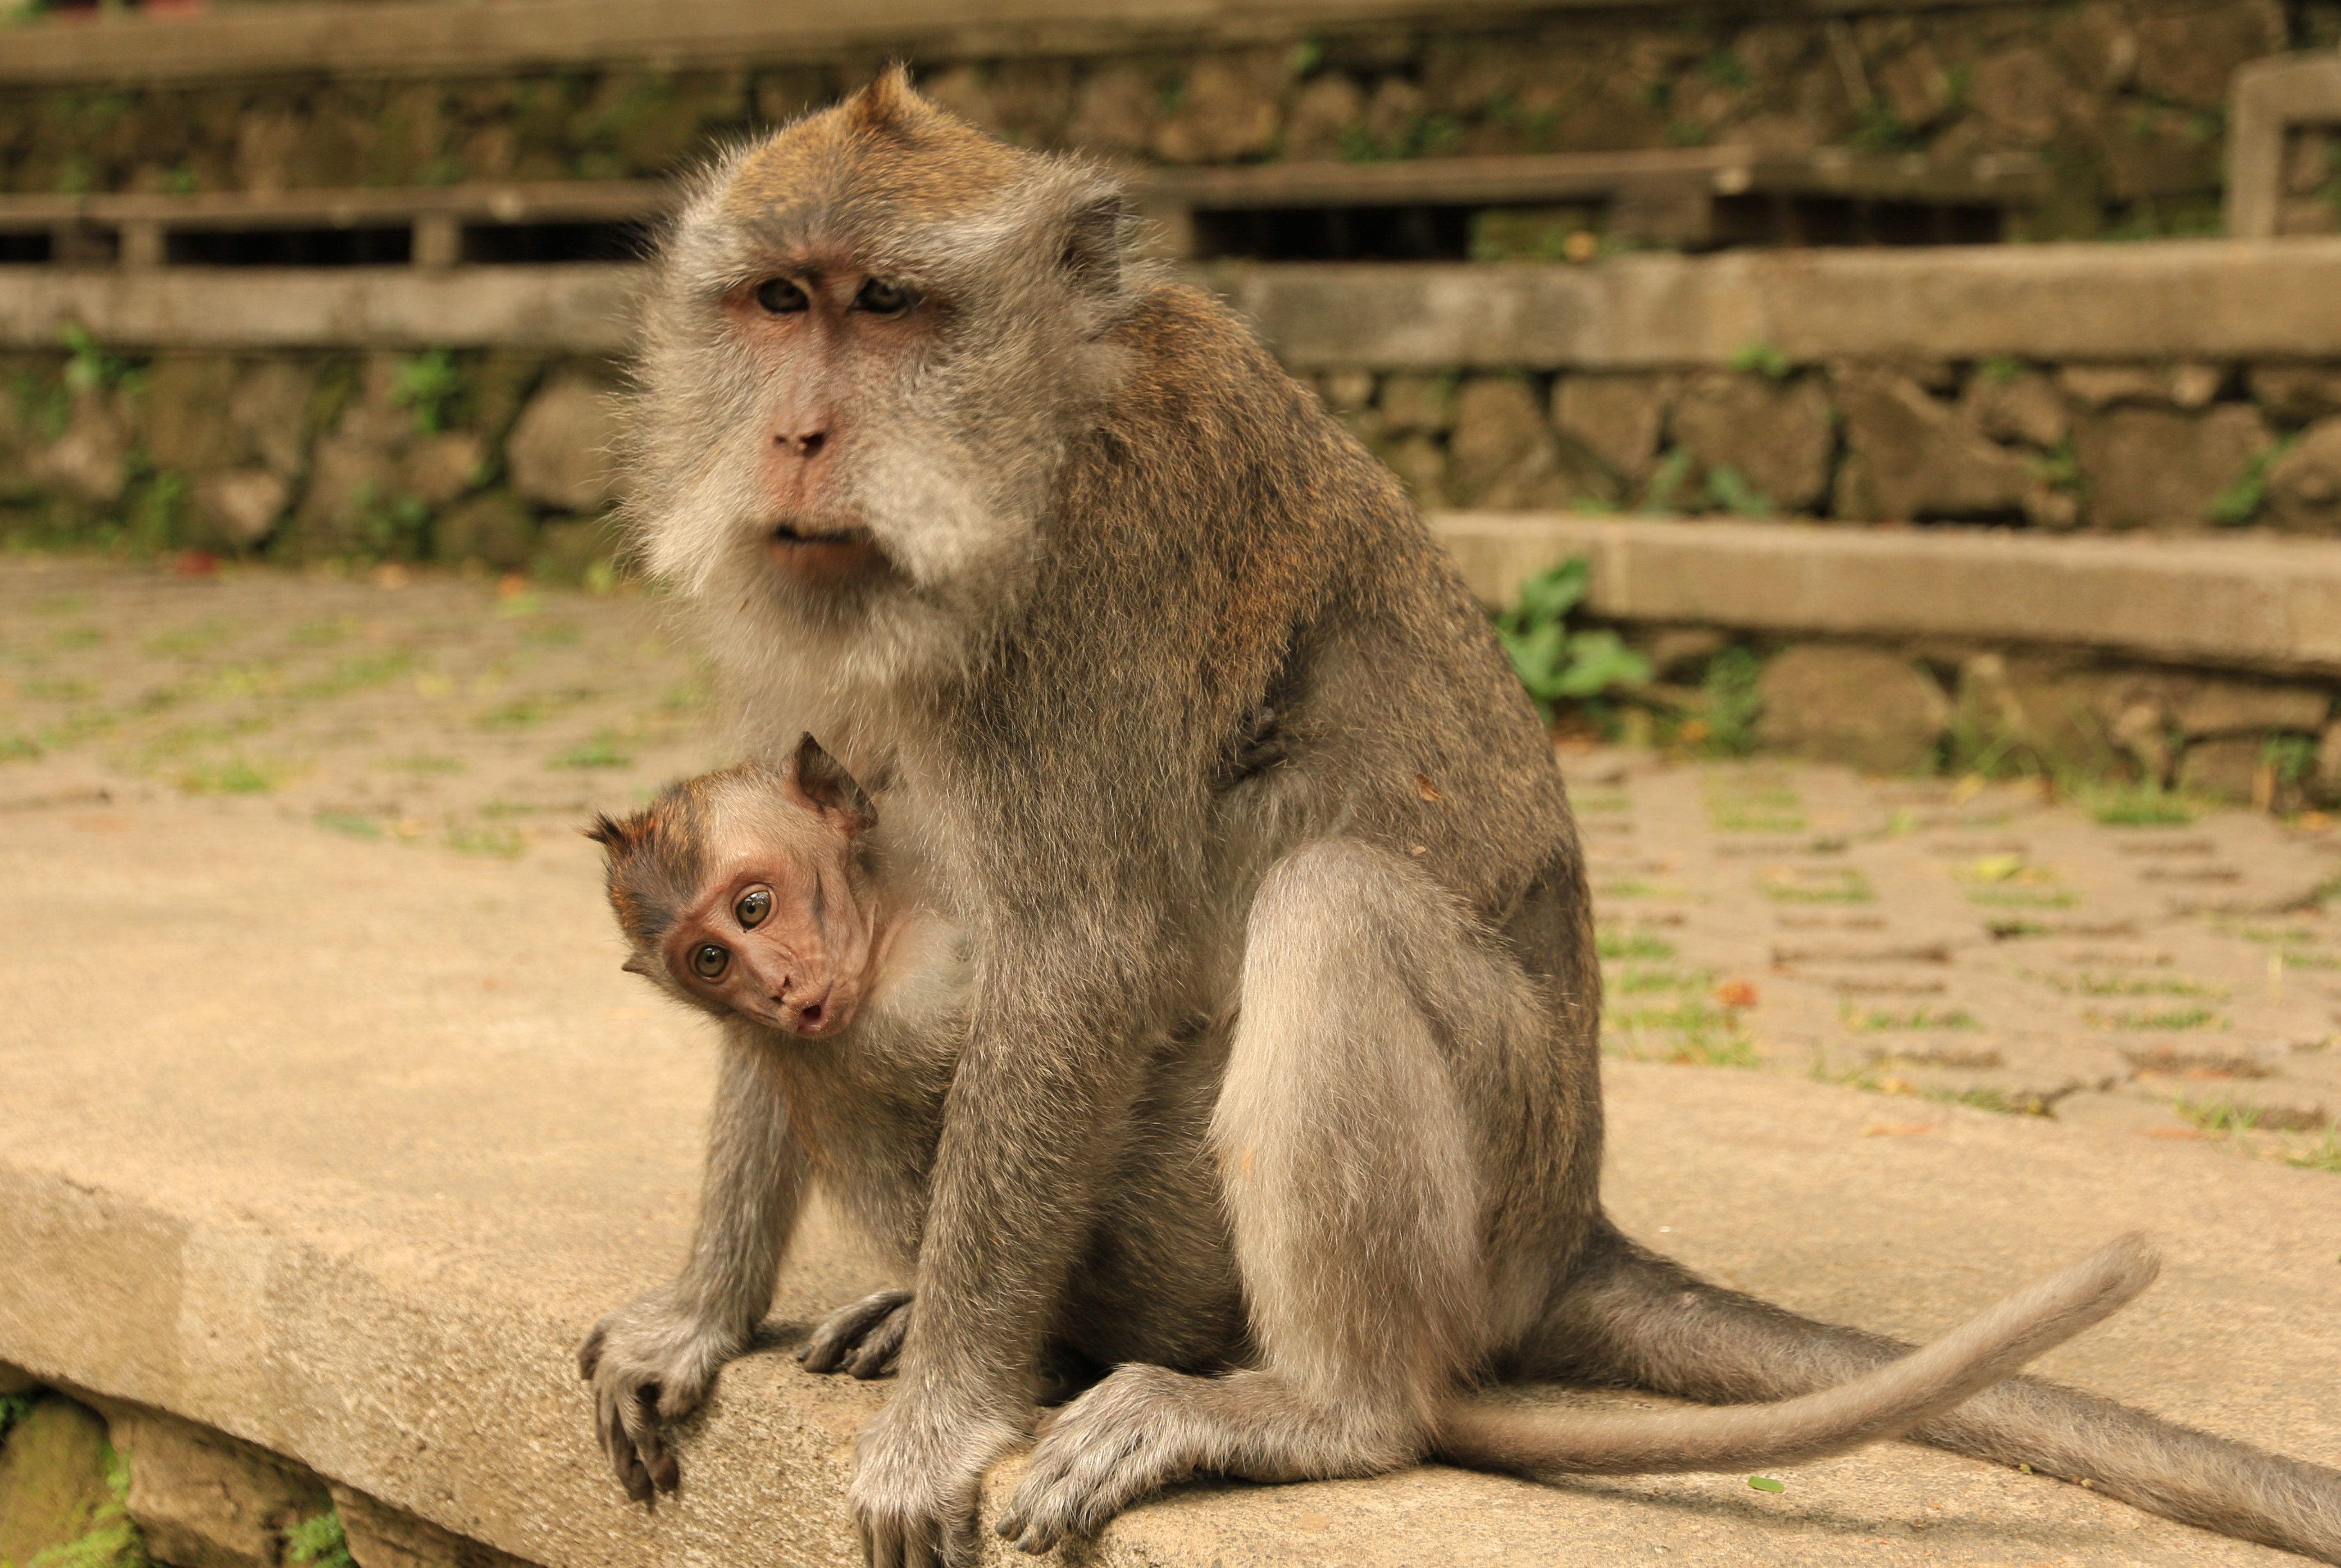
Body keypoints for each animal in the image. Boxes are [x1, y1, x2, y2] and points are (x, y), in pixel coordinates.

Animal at [586, 68, 2341, 1568]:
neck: (1036, 436)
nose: (797, 436)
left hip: (1448, 1177)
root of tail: (1572, 1225)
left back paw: (1310, 1409)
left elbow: (1081, 957)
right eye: (776, 303)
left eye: (886, 307)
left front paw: (943, 1417)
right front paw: (699, 1309)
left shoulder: (1105, 567)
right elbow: (802, 850)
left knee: (1332, 907)